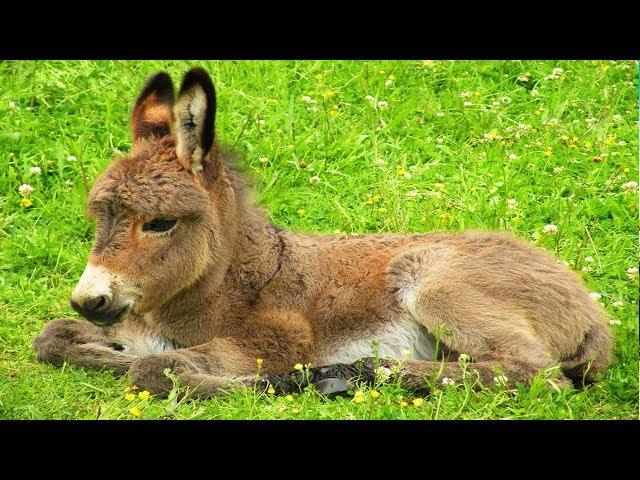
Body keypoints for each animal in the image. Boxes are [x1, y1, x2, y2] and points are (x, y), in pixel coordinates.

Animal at [32, 67, 612, 398]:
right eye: (99, 218)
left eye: (159, 224)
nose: (89, 300)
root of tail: (588, 306)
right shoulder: (133, 324)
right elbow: (51, 338)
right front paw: (104, 351)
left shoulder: (281, 338)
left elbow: (157, 370)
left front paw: (265, 383)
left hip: (440, 286)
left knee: (536, 374)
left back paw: (350, 376)